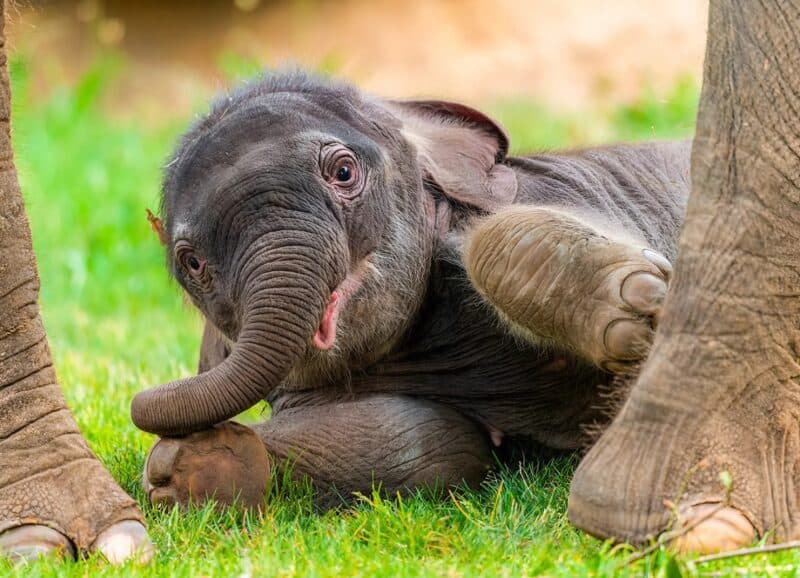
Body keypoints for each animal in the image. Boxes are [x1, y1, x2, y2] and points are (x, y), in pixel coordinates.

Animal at [133, 70, 690, 515]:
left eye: (343, 172)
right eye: (192, 263)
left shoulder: (573, 190)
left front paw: (643, 311)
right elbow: (419, 441)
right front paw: (183, 469)